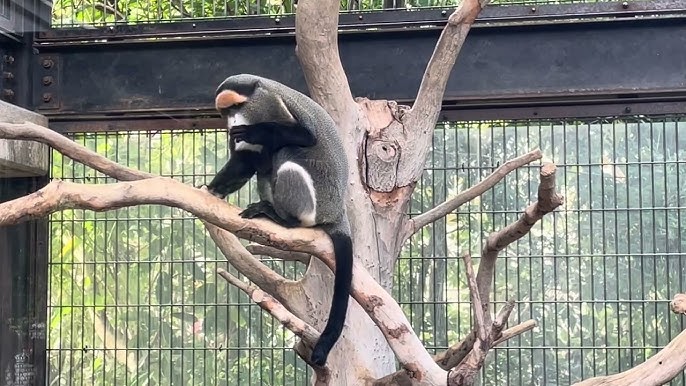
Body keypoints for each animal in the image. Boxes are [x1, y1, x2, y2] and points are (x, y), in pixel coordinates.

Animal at [206, 73, 354, 364]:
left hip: (316, 202)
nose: (233, 122)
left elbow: (306, 136)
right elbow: (245, 160)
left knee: (288, 154)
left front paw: (257, 132)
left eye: (237, 107)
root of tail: (337, 212)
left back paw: (283, 219)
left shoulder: (273, 103)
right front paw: (210, 190)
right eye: (225, 112)